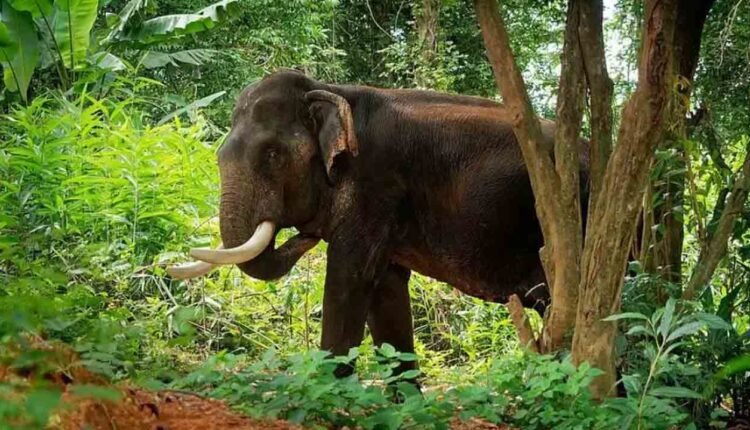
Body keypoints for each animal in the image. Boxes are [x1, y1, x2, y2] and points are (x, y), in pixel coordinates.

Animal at [169, 69, 589, 376]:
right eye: (219, 155)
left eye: (272, 155)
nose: (303, 235)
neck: (330, 89)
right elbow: (386, 292)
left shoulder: (376, 186)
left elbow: (348, 280)